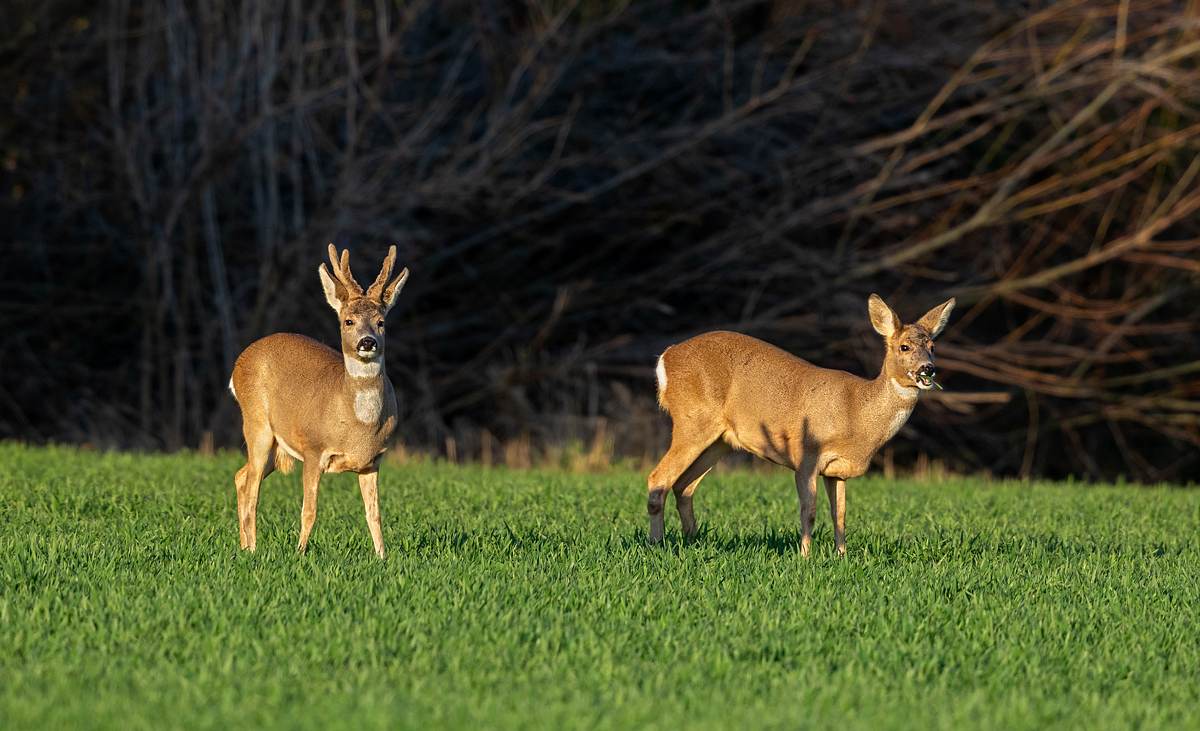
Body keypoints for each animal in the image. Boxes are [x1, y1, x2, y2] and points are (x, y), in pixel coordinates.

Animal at [226, 242, 410, 556]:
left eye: (381, 322)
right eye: (348, 321)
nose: (367, 342)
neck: (357, 424)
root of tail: (240, 362)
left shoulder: (373, 461)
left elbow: (374, 514)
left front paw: (383, 557)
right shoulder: (313, 449)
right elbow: (309, 510)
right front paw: (299, 554)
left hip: (277, 446)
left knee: (242, 477)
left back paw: (243, 546)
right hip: (256, 423)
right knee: (251, 490)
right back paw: (252, 550)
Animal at [648, 294, 955, 556]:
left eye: (933, 347)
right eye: (904, 346)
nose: (928, 369)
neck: (855, 411)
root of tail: (665, 358)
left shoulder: (837, 471)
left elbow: (840, 514)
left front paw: (841, 556)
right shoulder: (806, 454)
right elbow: (809, 510)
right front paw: (805, 557)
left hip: (722, 440)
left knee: (683, 485)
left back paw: (692, 541)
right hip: (692, 420)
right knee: (658, 479)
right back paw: (658, 544)